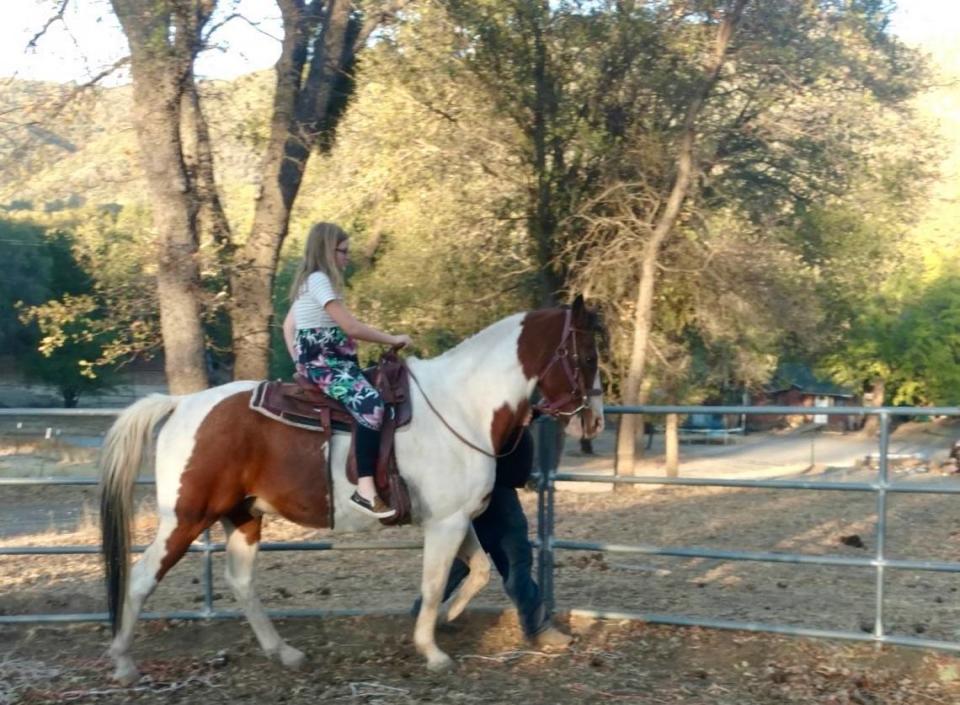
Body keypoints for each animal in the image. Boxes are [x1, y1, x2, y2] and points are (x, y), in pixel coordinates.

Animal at [101, 296, 604, 680]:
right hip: (185, 519)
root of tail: (182, 403)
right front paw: (432, 651)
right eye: (587, 357)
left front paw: (444, 619)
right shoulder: (445, 524)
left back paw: (284, 652)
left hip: (244, 516)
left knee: (241, 582)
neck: (461, 405)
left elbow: (476, 572)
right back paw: (123, 662)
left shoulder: (455, 519)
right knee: (142, 579)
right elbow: (435, 581)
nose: (595, 419)